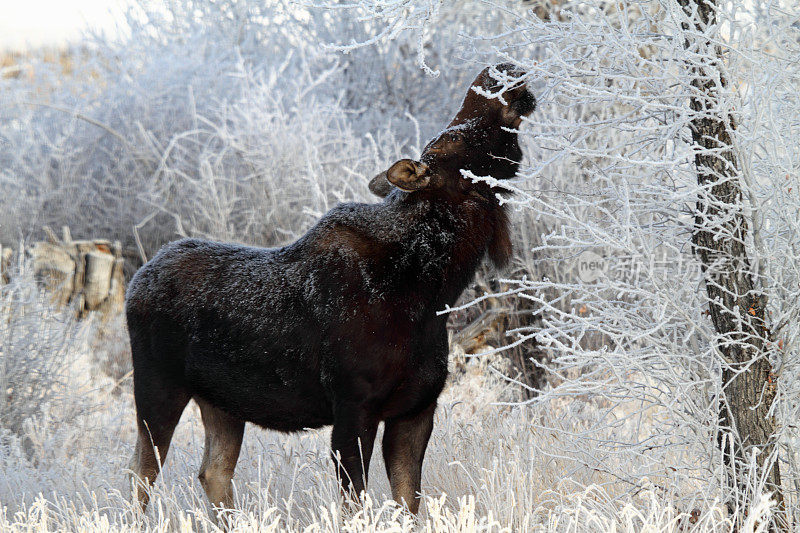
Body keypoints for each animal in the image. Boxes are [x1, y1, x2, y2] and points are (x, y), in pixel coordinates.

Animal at [125, 62, 536, 516]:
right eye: (455, 139)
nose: (500, 70)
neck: (434, 289)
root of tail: (137, 281)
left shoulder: (416, 409)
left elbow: (408, 502)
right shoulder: (354, 408)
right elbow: (356, 501)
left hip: (222, 402)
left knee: (212, 472)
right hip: (156, 388)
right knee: (140, 474)